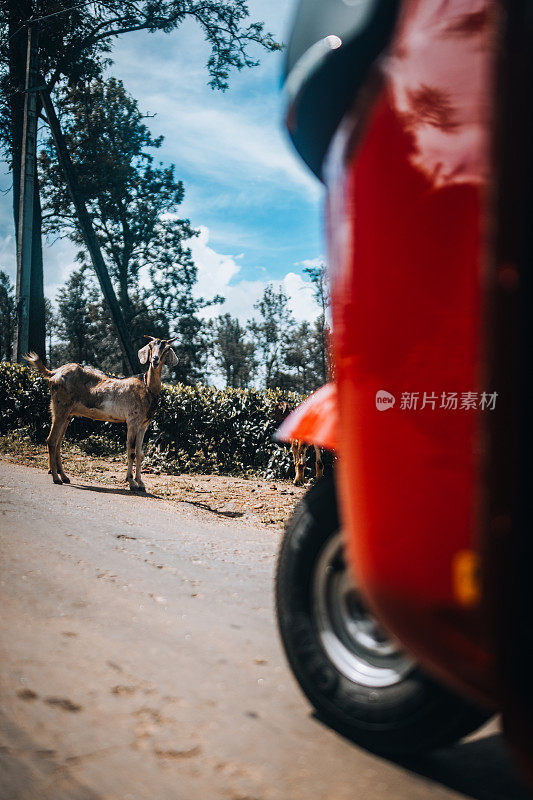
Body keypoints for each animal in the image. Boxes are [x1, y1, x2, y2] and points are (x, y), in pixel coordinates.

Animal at [25, 336, 178, 490]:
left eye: (166, 349)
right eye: (151, 346)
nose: (155, 360)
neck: (146, 388)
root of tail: (54, 374)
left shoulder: (143, 425)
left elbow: (140, 454)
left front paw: (141, 483)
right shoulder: (132, 421)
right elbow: (131, 451)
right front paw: (131, 482)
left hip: (67, 413)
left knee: (58, 442)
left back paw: (64, 476)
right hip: (60, 408)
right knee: (51, 440)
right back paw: (56, 478)